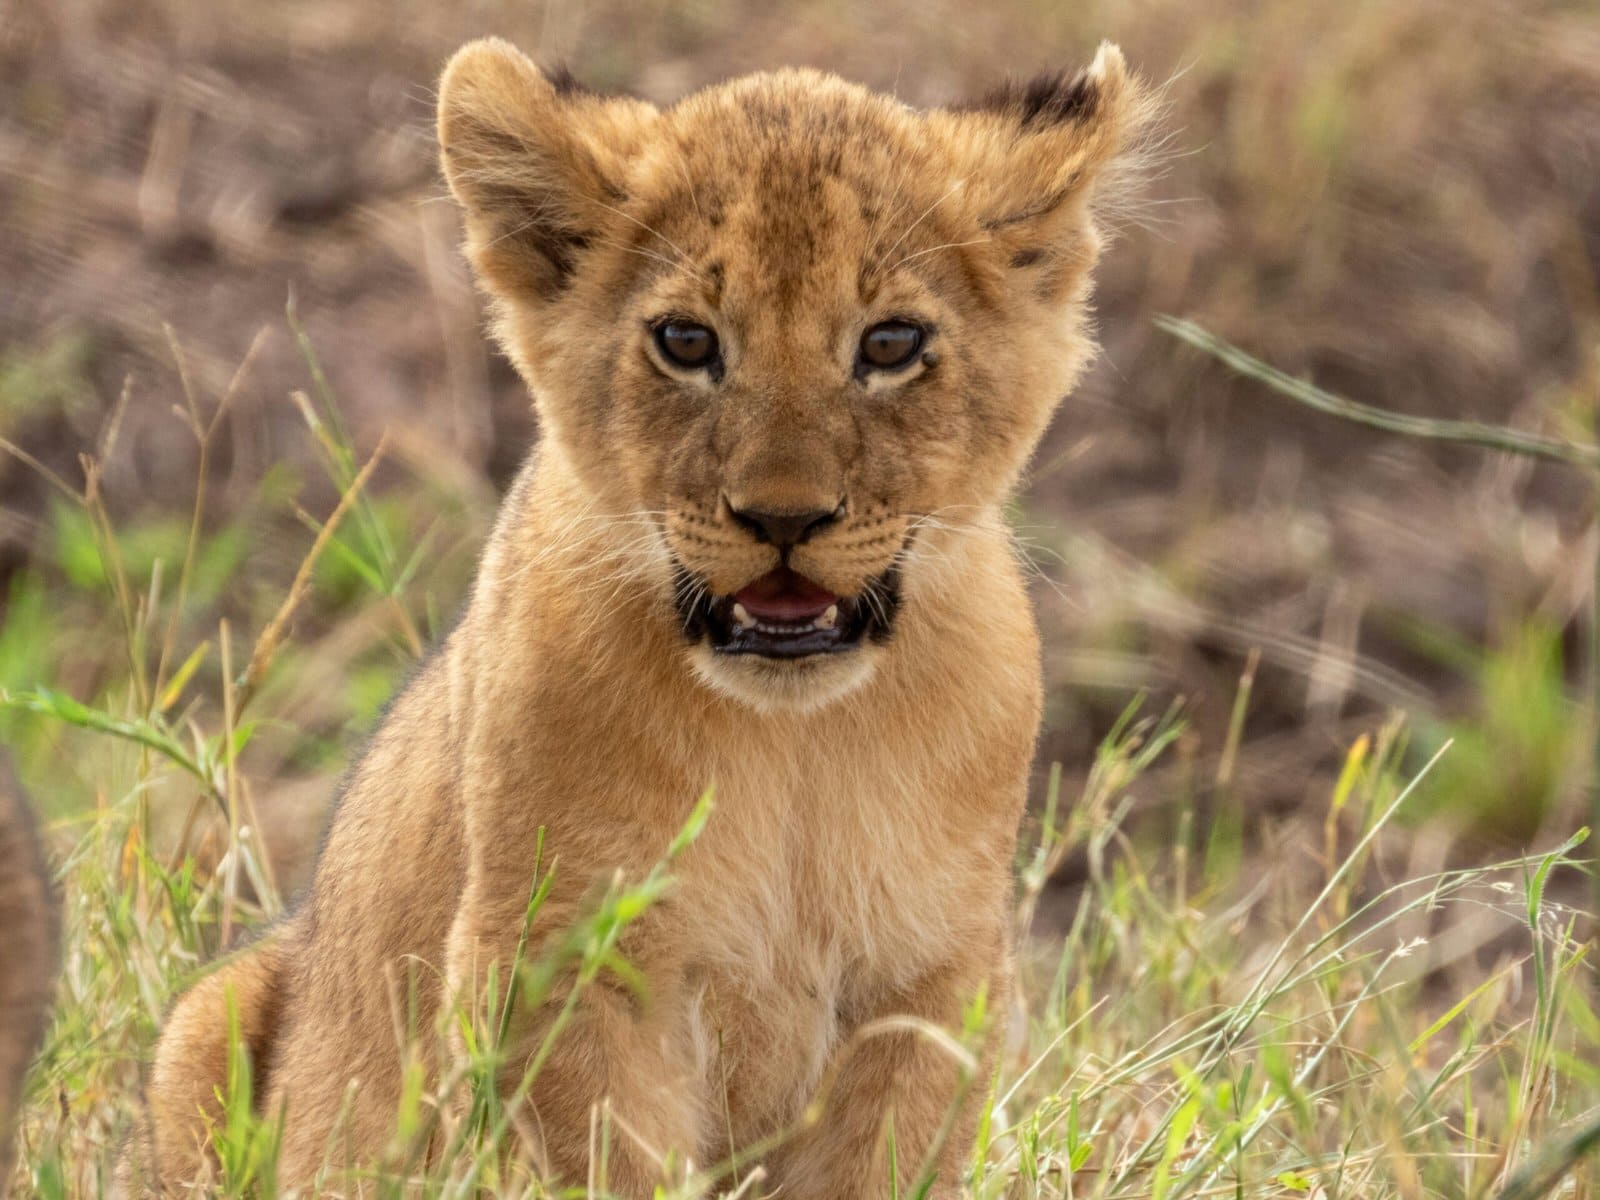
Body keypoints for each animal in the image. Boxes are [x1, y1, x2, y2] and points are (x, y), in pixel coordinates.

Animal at [128, 39, 1149, 1197]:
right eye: (685, 341)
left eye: (890, 343)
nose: (784, 518)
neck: (794, 743)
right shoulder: (559, 959)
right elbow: (608, 1158)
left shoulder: (930, 978)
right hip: (205, 1022)